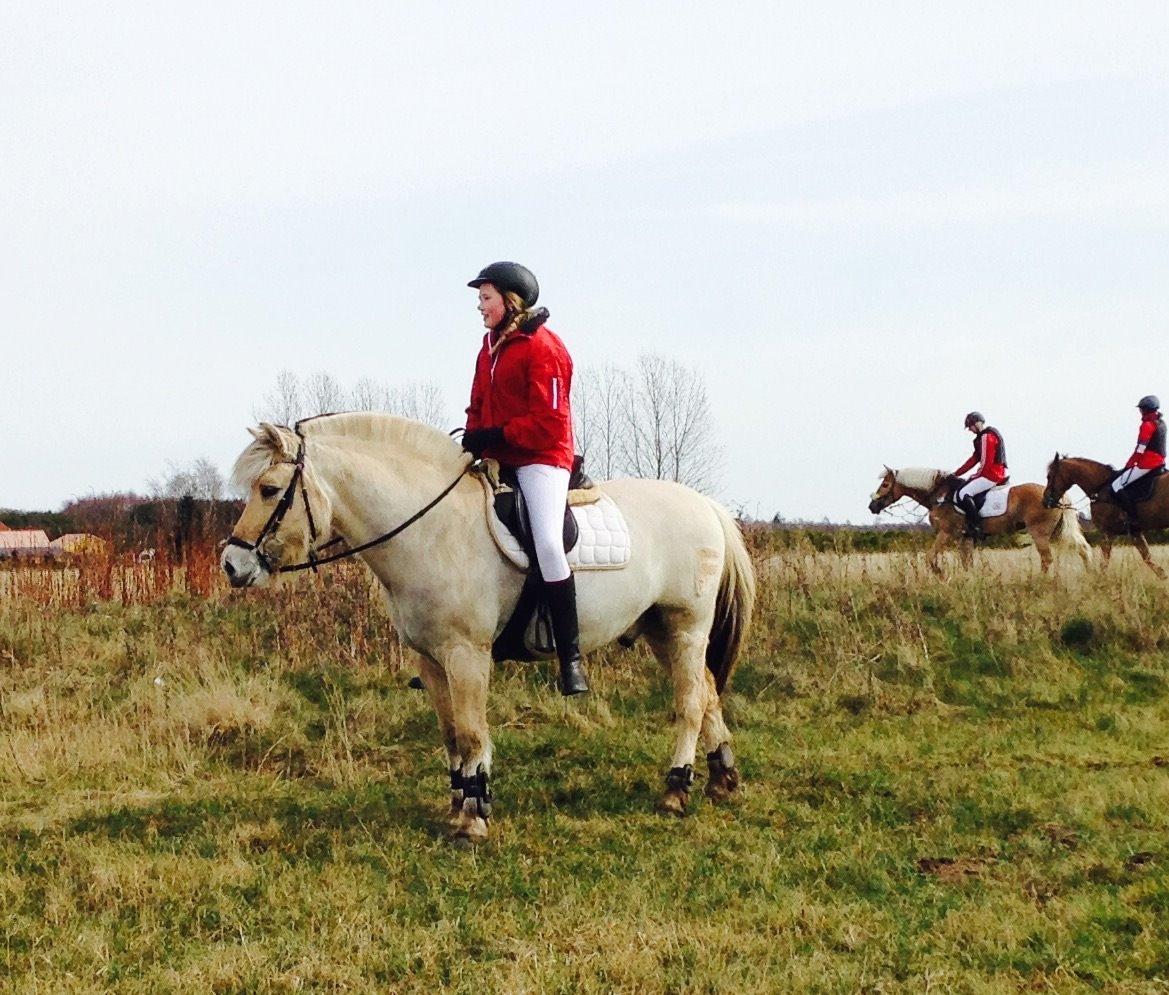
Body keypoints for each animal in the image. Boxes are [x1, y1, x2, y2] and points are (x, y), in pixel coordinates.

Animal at [222, 416, 752, 846]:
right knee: (708, 695)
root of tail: (705, 505)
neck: (431, 529)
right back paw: (721, 779)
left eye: (269, 489)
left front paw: (475, 818)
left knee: (690, 703)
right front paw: (460, 804)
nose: (231, 564)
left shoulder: (466, 655)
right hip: (662, 632)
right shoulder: (431, 660)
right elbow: (452, 735)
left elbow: (474, 734)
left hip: (685, 628)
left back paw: (676, 789)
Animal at [869, 467, 1094, 575]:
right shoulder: (965, 538)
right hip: (1056, 532)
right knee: (1083, 549)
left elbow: (930, 558)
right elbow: (966, 564)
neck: (941, 495)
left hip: (1040, 533)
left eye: (886, 484)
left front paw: (940, 574)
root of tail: (1055, 496)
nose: (872, 506)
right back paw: (1090, 576)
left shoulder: (946, 534)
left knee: (1047, 559)